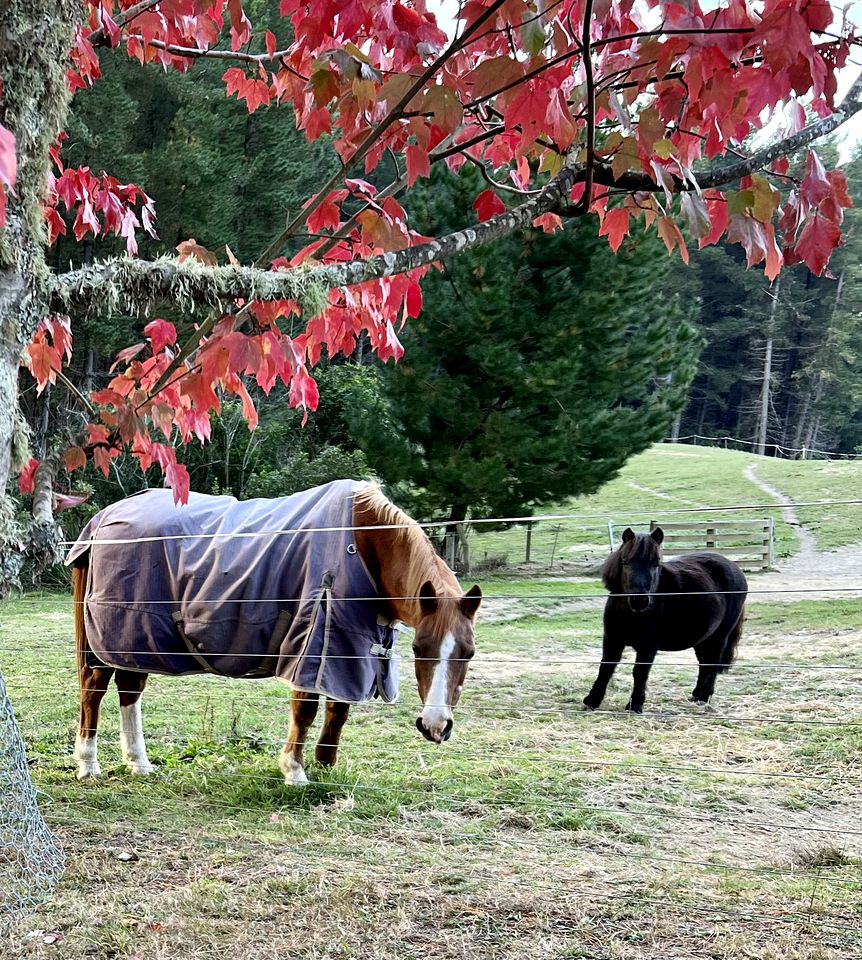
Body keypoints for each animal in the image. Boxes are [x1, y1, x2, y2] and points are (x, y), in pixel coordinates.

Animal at [69, 484, 480, 784]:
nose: (435, 726)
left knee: (130, 689)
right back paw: (88, 765)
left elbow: (339, 708)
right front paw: (295, 770)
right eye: (419, 647)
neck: (364, 545)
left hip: (132, 640)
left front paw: (325, 763)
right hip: (107, 638)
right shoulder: (312, 639)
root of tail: (104, 518)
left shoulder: (347, 647)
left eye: (469, 652)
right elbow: (306, 709)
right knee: (94, 689)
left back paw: (139, 762)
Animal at [588, 528, 748, 716]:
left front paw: (635, 705)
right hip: (703, 638)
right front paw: (592, 700)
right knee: (704, 663)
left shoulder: (648, 645)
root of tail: (733, 566)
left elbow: (640, 672)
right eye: (625, 562)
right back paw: (696, 695)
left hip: (719, 636)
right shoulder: (612, 639)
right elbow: (605, 668)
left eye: (656, 564)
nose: (639, 601)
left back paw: (704, 697)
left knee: (712, 664)